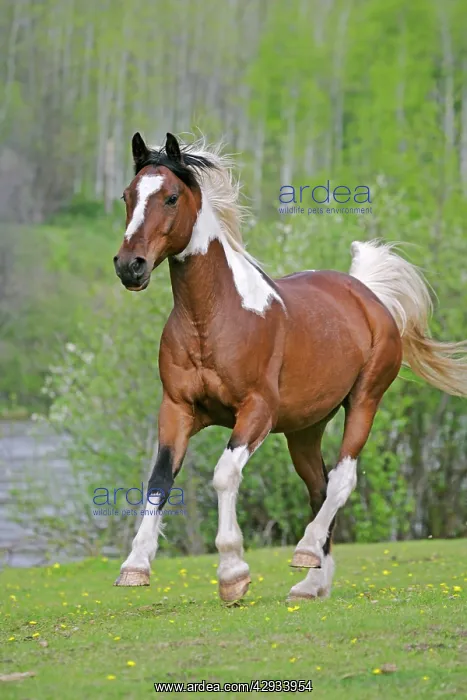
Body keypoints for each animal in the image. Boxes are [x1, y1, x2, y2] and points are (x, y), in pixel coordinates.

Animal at [113, 131, 467, 603]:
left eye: (170, 197)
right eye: (127, 195)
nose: (129, 266)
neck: (213, 319)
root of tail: (366, 294)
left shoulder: (256, 411)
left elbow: (224, 475)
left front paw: (233, 573)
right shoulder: (177, 409)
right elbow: (159, 479)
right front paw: (135, 565)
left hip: (365, 402)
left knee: (342, 479)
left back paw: (305, 552)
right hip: (305, 429)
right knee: (319, 486)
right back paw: (311, 580)